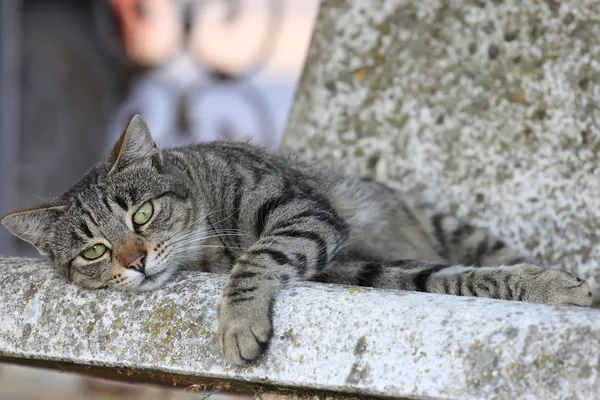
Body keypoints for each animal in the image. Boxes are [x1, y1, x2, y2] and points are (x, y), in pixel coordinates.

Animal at [1, 114, 592, 364]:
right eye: (94, 251)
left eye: (142, 214)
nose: (136, 261)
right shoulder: (356, 268)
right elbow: (446, 281)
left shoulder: (301, 212)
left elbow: (257, 259)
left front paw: (238, 323)